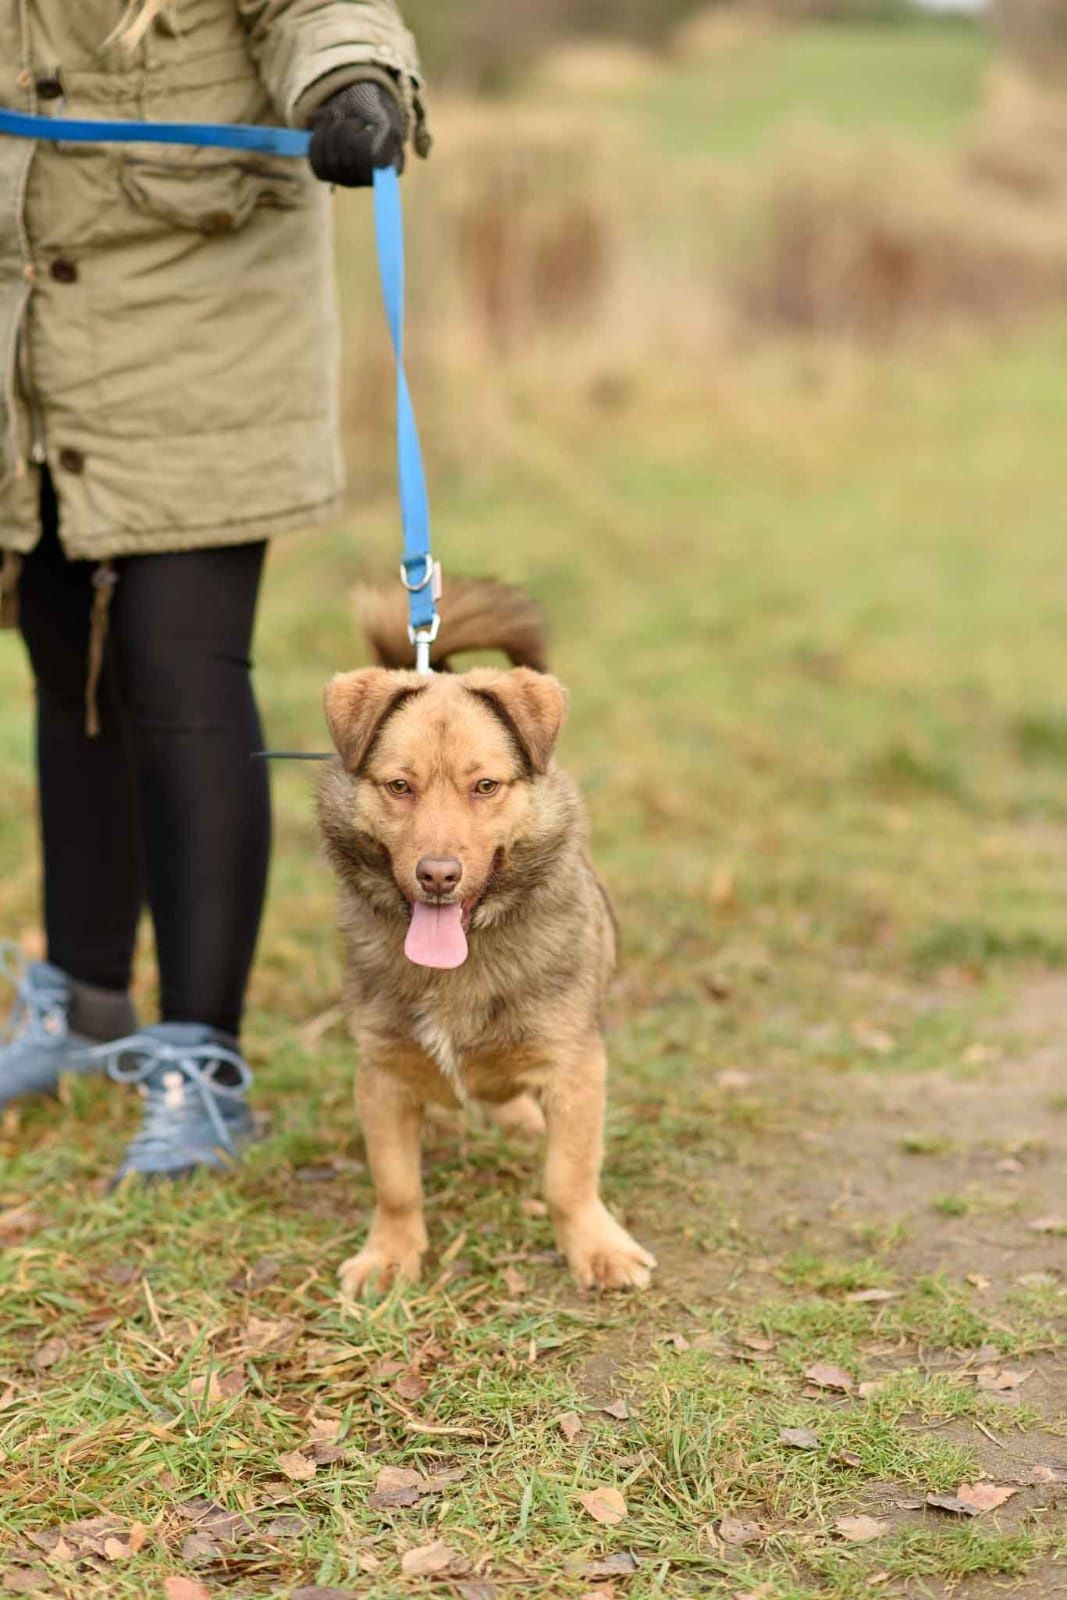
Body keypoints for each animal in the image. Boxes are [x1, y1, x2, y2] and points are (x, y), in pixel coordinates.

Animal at [316, 582, 655, 1292]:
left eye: (485, 786)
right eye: (399, 786)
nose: (438, 875)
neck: (462, 959)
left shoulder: (575, 1065)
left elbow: (568, 1177)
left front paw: (595, 1246)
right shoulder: (381, 1073)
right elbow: (397, 1185)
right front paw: (391, 1253)